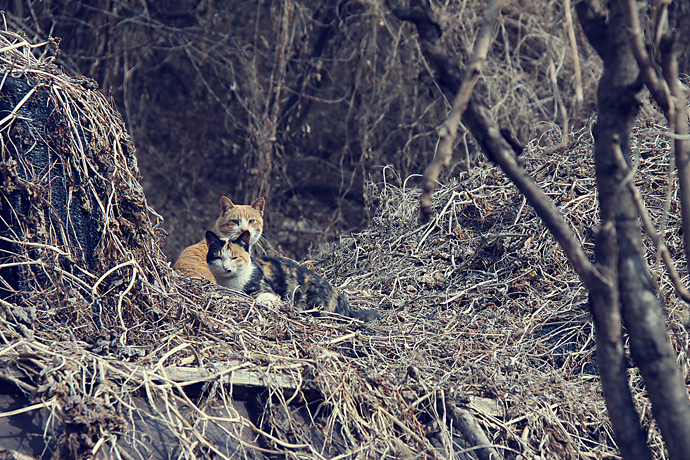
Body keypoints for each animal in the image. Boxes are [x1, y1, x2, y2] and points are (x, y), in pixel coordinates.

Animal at [206, 230, 376, 324]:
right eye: (219, 257)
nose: (226, 268)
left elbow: (261, 298)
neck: (229, 282)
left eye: (234, 257)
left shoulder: (267, 291)